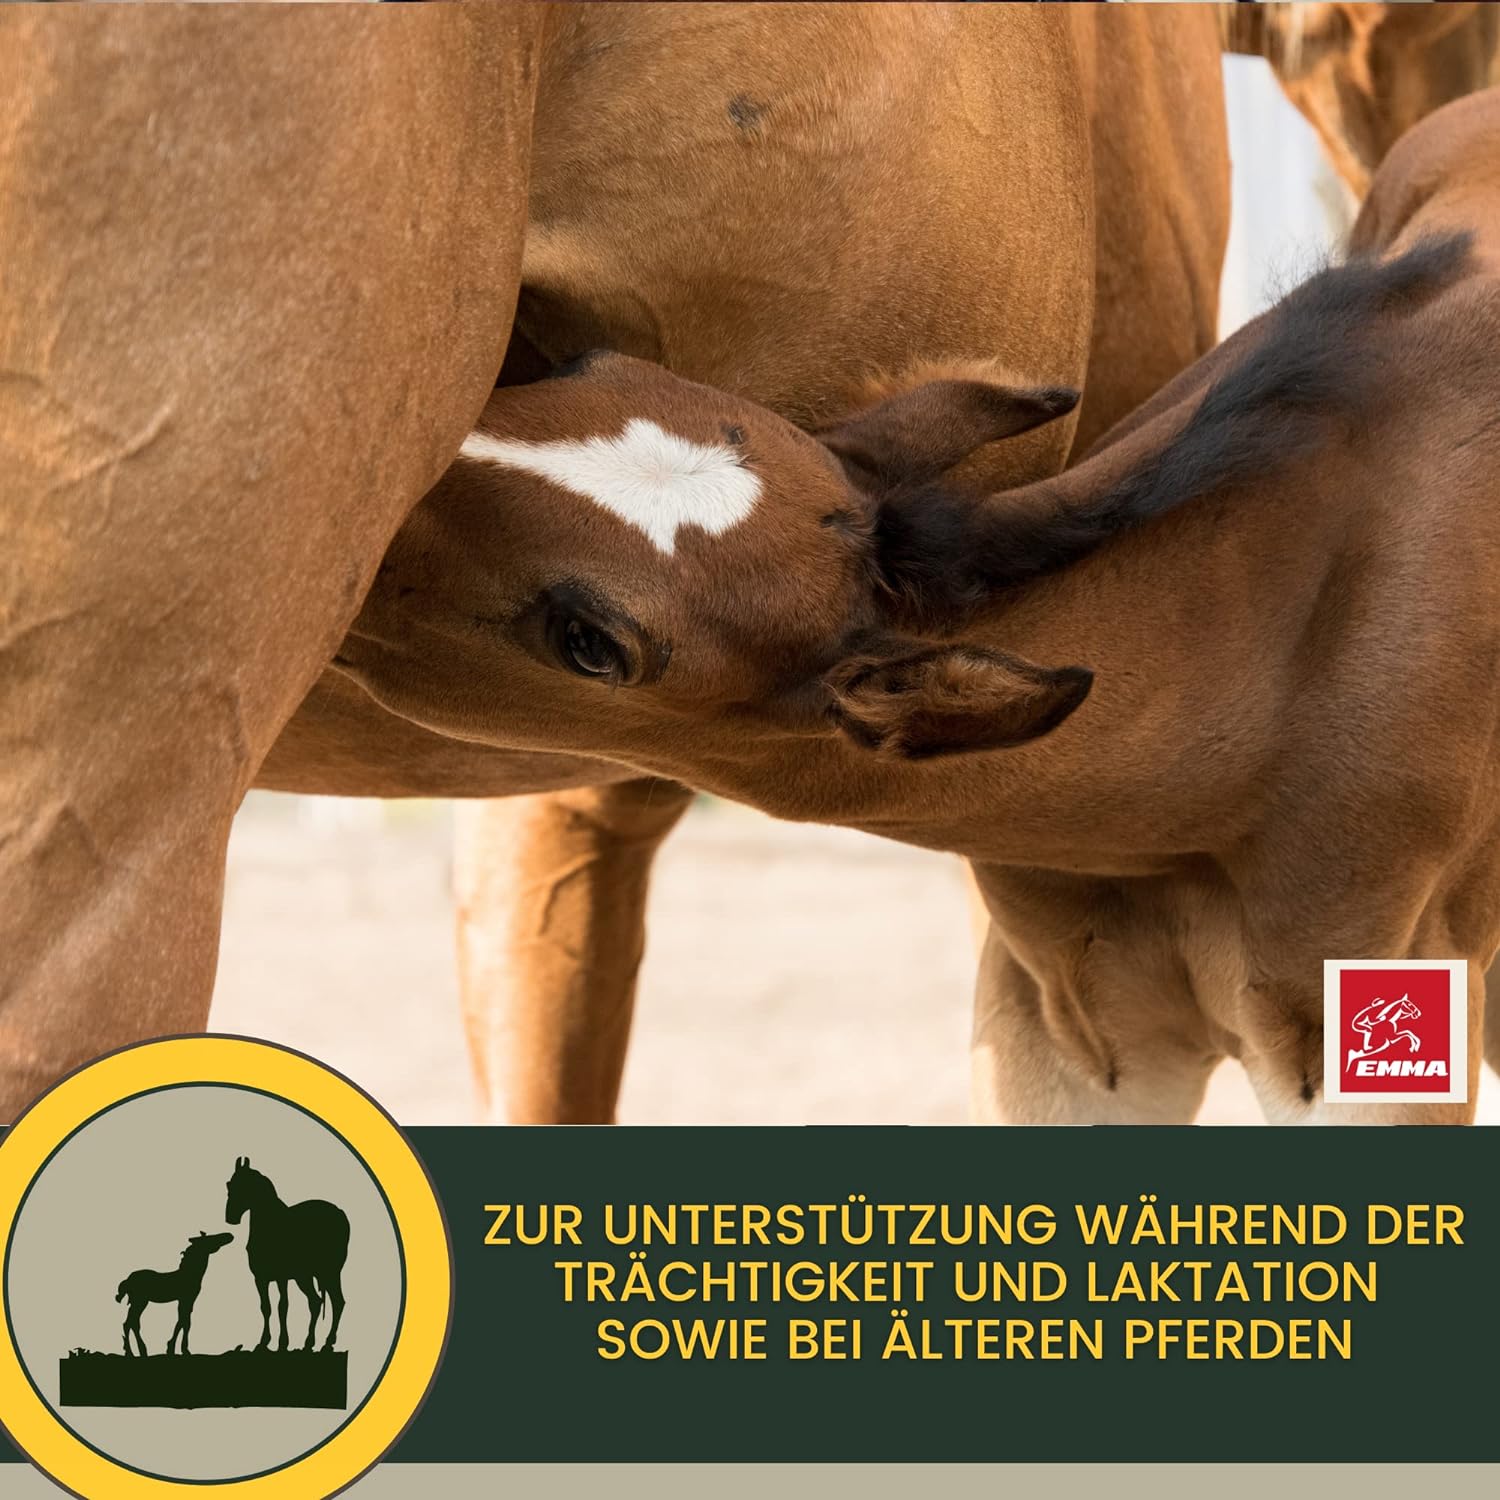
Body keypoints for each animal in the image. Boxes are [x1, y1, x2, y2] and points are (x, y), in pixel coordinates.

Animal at [225, 1157, 349, 1354]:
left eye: (245, 1185)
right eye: (229, 1184)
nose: (230, 1217)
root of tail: (339, 1213)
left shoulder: (282, 1277)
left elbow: (282, 1307)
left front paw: (282, 1343)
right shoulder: (261, 1279)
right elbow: (266, 1308)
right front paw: (263, 1343)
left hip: (329, 1272)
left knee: (337, 1301)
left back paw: (328, 1343)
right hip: (305, 1277)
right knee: (316, 1302)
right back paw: (308, 1344)